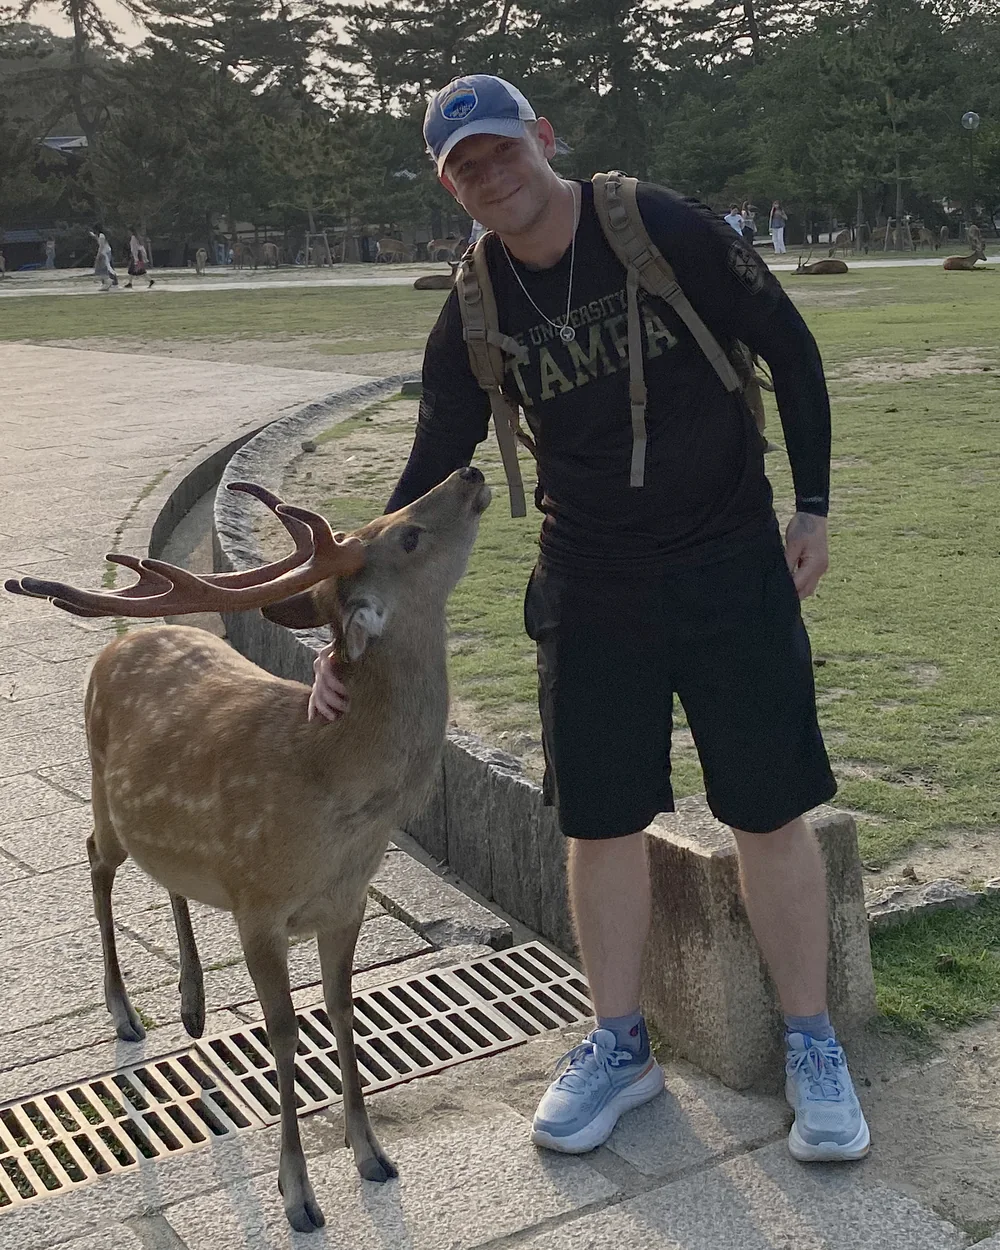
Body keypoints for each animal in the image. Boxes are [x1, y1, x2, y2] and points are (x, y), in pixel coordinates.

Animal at [5, 469, 492, 1234]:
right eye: (407, 535)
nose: (469, 473)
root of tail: (114, 646)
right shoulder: (260, 907)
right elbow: (284, 1033)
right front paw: (299, 1197)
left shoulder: (345, 903)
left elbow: (343, 1009)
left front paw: (372, 1155)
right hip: (99, 787)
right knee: (96, 859)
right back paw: (124, 1011)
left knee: (167, 872)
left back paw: (193, 1001)